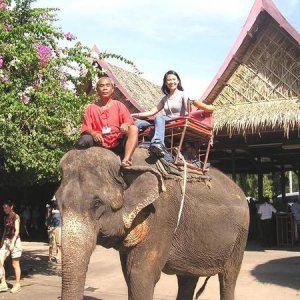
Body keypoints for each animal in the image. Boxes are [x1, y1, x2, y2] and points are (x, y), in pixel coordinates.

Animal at [55, 146, 248, 298]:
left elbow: (140, 274)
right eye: (57, 202)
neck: (126, 163)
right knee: (187, 279)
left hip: (241, 236)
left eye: (97, 203)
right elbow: (128, 274)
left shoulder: (162, 217)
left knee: (228, 277)